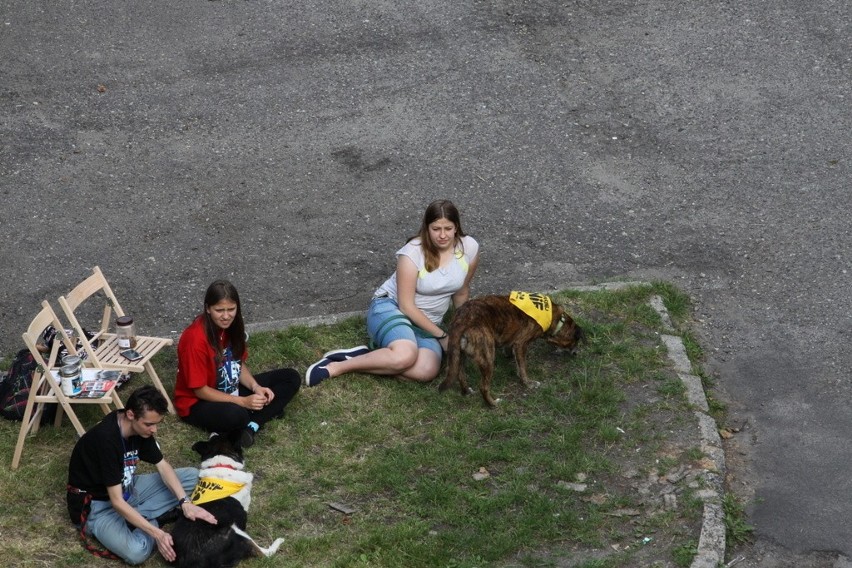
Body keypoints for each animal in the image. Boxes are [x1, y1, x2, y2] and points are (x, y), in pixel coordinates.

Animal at [171, 430, 284, 568]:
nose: (213, 431)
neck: (221, 463)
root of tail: (192, 563)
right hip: (236, 532)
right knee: (264, 553)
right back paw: (278, 542)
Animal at [440, 296, 580, 406]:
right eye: (576, 342)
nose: (576, 354)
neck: (554, 317)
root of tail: (462, 320)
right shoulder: (521, 344)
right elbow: (523, 368)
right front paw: (528, 384)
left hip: (459, 355)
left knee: (460, 374)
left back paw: (466, 391)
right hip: (488, 358)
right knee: (483, 387)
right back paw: (493, 404)